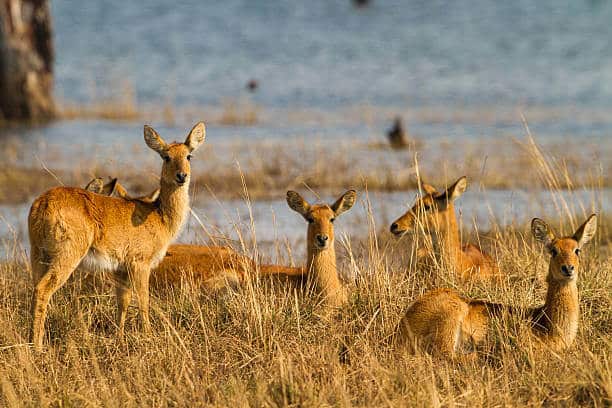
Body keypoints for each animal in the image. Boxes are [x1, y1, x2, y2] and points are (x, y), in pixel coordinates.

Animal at [28, 122, 207, 348]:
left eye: (189, 155)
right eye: (166, 156)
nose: (181, 176)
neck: (159, 215)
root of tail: (43, 203)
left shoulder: (121, 269)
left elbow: (123, 302)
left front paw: (119, 338)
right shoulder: (140, 264)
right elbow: (143, 301)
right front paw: (148, 337)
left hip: (38, 255)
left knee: (35, 288)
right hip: (66, 256)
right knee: (43, 290)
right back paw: (38, 347)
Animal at [396, 215, 596, 358]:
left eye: (577, 250)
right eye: (553, 251)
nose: (568, 268)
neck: (548, 324)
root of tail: (404, 323)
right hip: (452, 314)